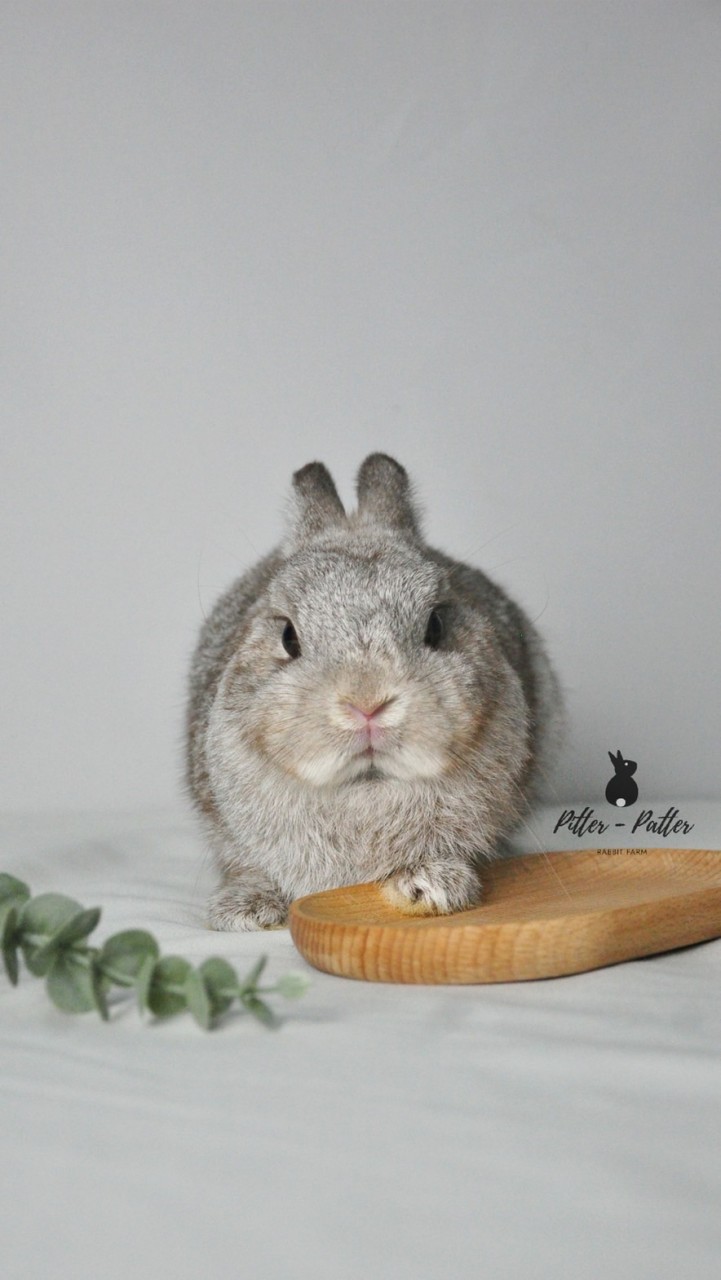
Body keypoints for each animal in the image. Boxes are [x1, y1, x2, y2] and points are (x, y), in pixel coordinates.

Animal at [185, 453, 565, 930]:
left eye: (436, 625)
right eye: (289, 636)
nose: (367, 704)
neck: (366, 788)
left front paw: (431, 885)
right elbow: (247, 864)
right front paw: (247, 910)